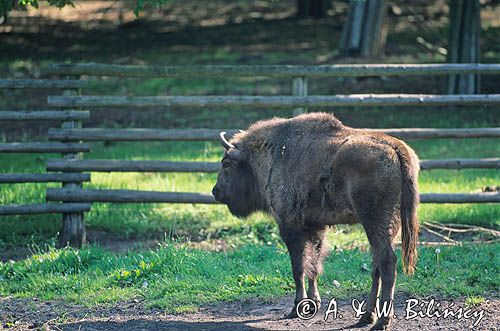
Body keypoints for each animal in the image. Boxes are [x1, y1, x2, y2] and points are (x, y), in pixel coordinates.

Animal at [211, 113, 418, 330]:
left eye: (226, 164)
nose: (216, 191)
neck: (273, 150)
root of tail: (397, 148)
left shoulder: (289, 225)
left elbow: (299, 267)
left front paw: (297, 308)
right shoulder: (316, 227)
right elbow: (314, 266)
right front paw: (313, 304)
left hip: (374, 221)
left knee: (387, 262)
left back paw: (381, 321)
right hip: (388, 225)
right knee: (377, 264)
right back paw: (365, 317)